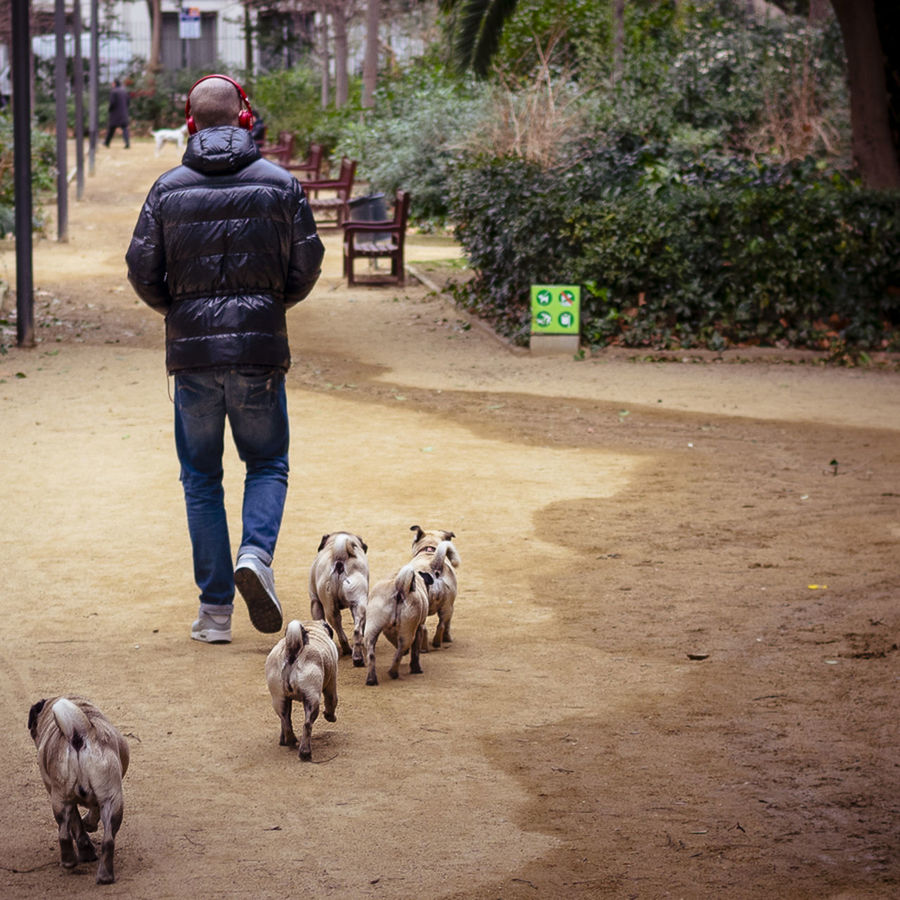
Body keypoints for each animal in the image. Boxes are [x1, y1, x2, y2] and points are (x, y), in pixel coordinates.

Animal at [27, 696, 129, 884]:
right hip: (111, 801)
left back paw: (70, 862)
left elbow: (79, 823)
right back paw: (103, 875)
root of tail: (79, 734)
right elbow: (85, 819)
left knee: (66, 832)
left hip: (66, 799)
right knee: (107, 840)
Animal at [268, 620, 342, 760]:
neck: (311, 627)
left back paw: (289, 741)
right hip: (312, 699)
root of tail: (292, 650)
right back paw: (305, 752)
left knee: (285, 720)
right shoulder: (332, 681)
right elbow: (332, 701)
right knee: (307, 724)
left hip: (279, 698)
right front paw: (330, 716)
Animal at [308, 532, 368, 664]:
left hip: (331, 609)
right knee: (356, 630)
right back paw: (357, 657)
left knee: (340, 630)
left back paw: (349, 651)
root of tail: (340, 558)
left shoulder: (315, 602)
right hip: (358, 605)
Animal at [412, 524, 460, 652]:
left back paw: (425, 647)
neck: (430, 551)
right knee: (442, 625)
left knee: (425, 627)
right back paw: (438, 642)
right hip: (448, 607)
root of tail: (434, 565)